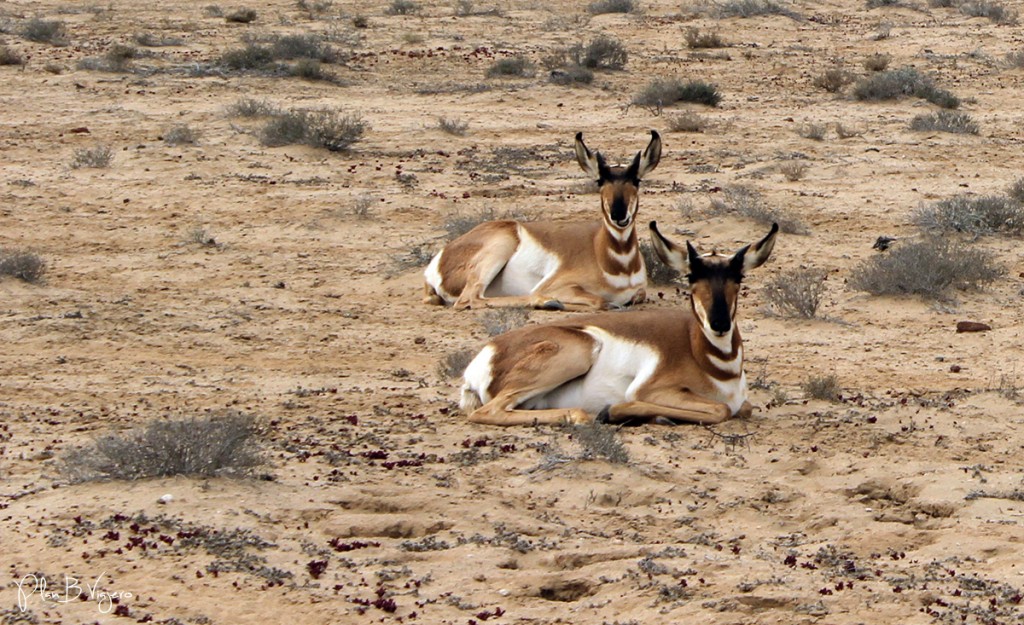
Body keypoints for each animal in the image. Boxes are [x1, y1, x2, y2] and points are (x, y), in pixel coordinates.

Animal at [423, 130, 663, 309]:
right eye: (599, 181)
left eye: (637, 180)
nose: (619, 215)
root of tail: (439, 261)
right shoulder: (559, 286)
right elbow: (600, 301)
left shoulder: (639, 292)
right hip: (500, 248)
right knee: (471, 299)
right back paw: (548, 302)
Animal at [460, 221, 778, 426]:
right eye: (691, 276)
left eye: (738, 277)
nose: (719, 323)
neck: (710, 362)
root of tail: (489, 352)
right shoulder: (653, 390)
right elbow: (721, 409)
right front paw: (617, 411)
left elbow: (743, 408)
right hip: (581, 350)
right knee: (487, 412)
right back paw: (582, 415)